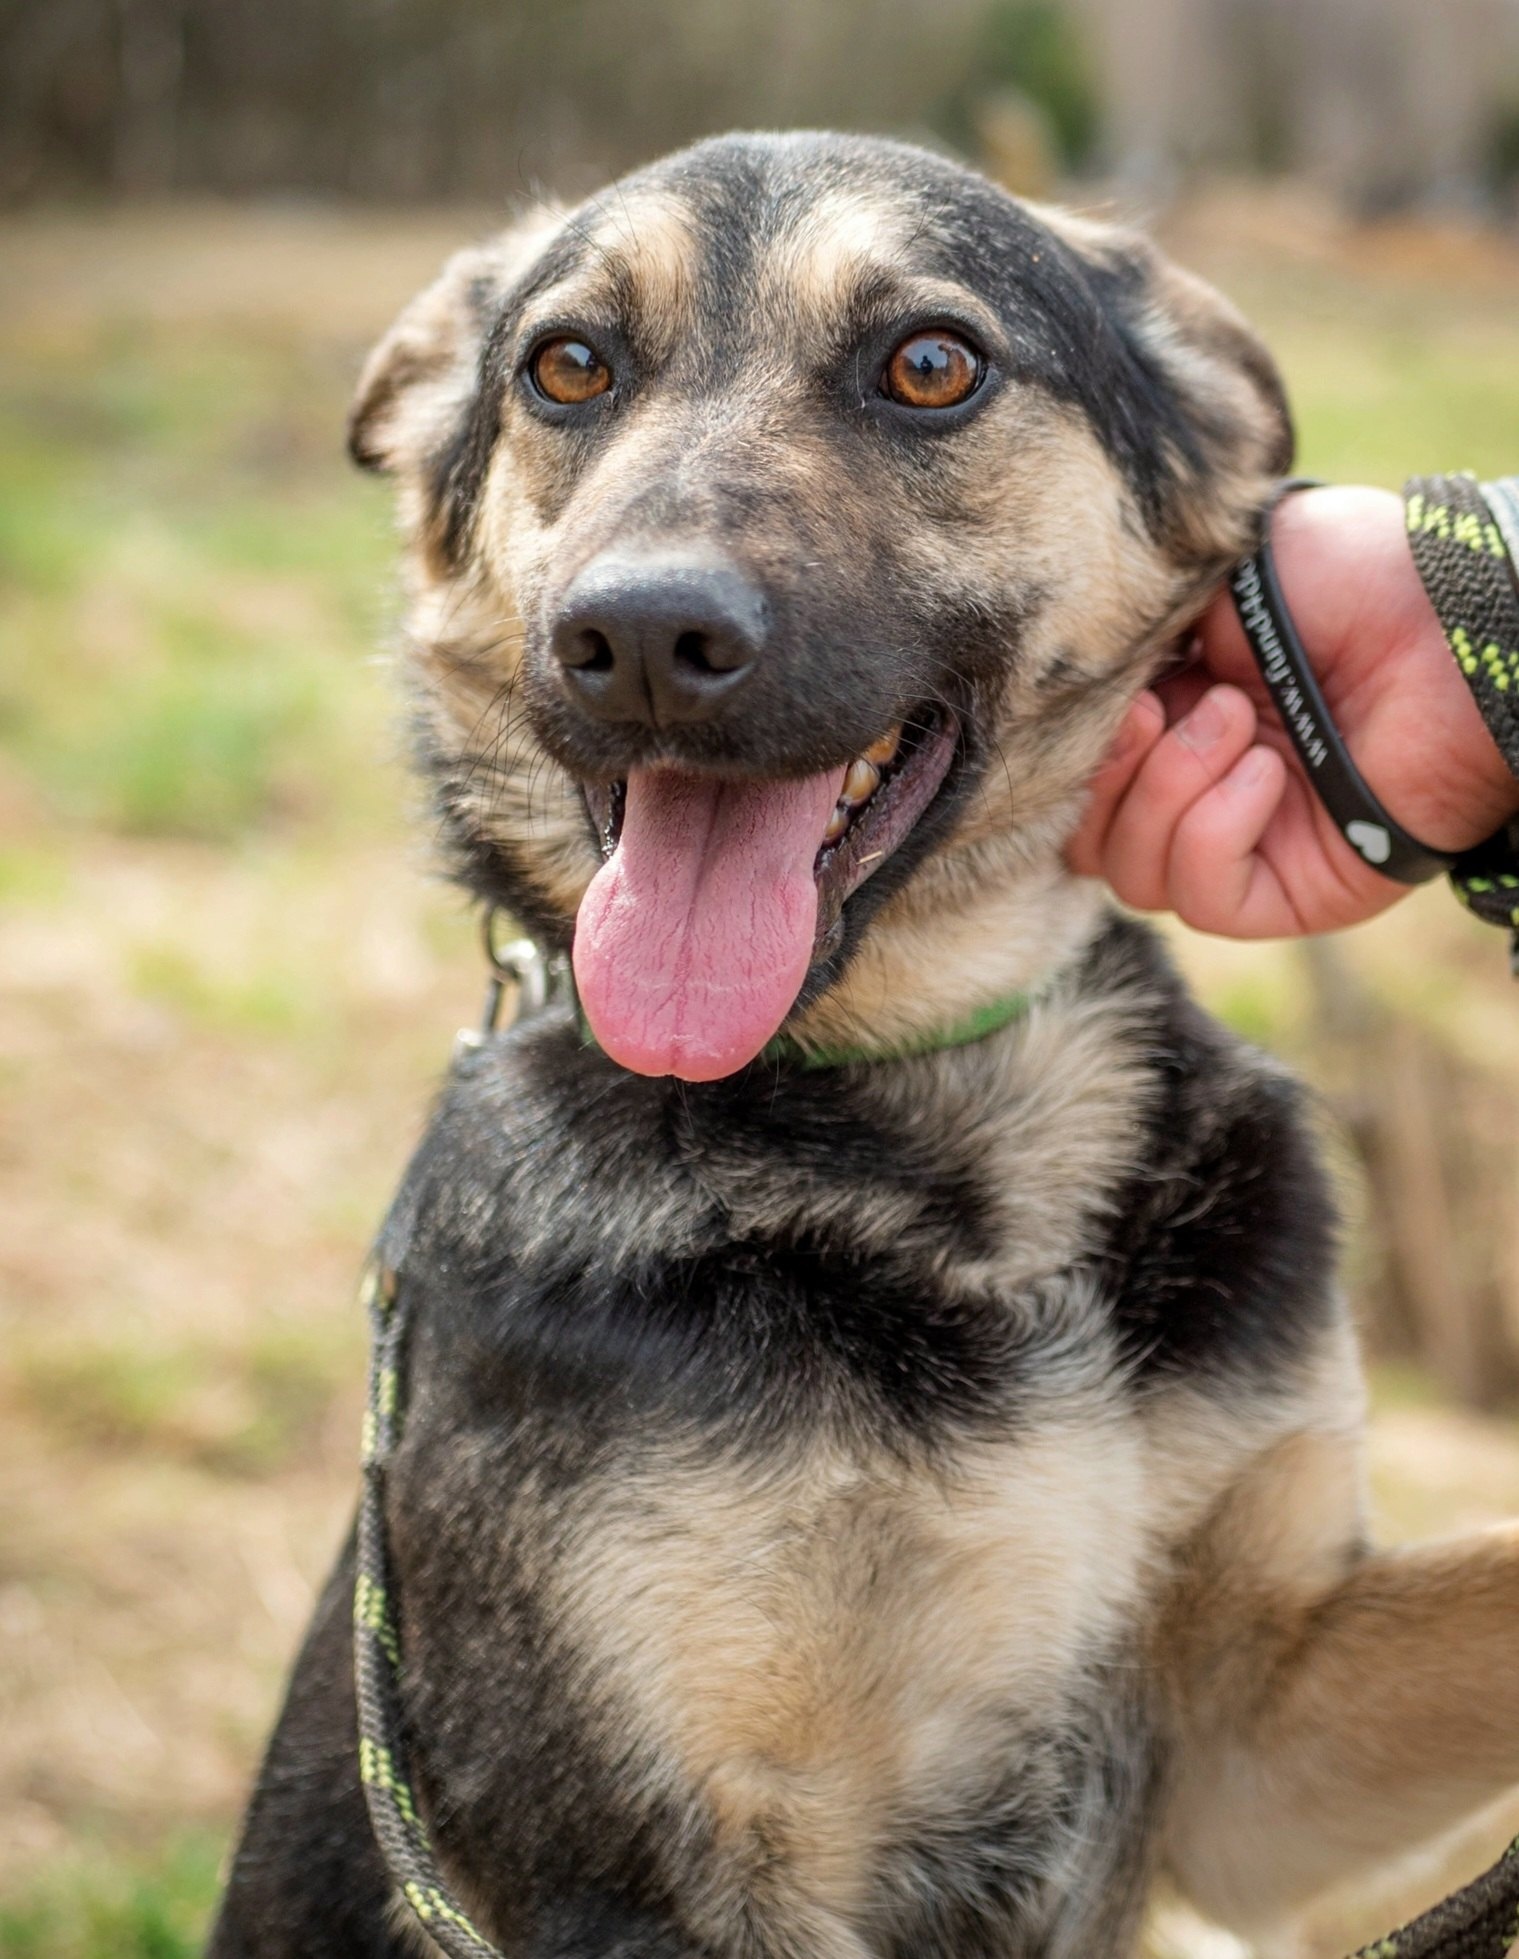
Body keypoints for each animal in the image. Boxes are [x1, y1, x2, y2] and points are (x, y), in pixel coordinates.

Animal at [207, 130, 1519, 1951]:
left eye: (928, 364)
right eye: (566, 366)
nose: (636, 639)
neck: (925, 1106)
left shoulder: (1264, 1717)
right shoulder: (649, 1865)